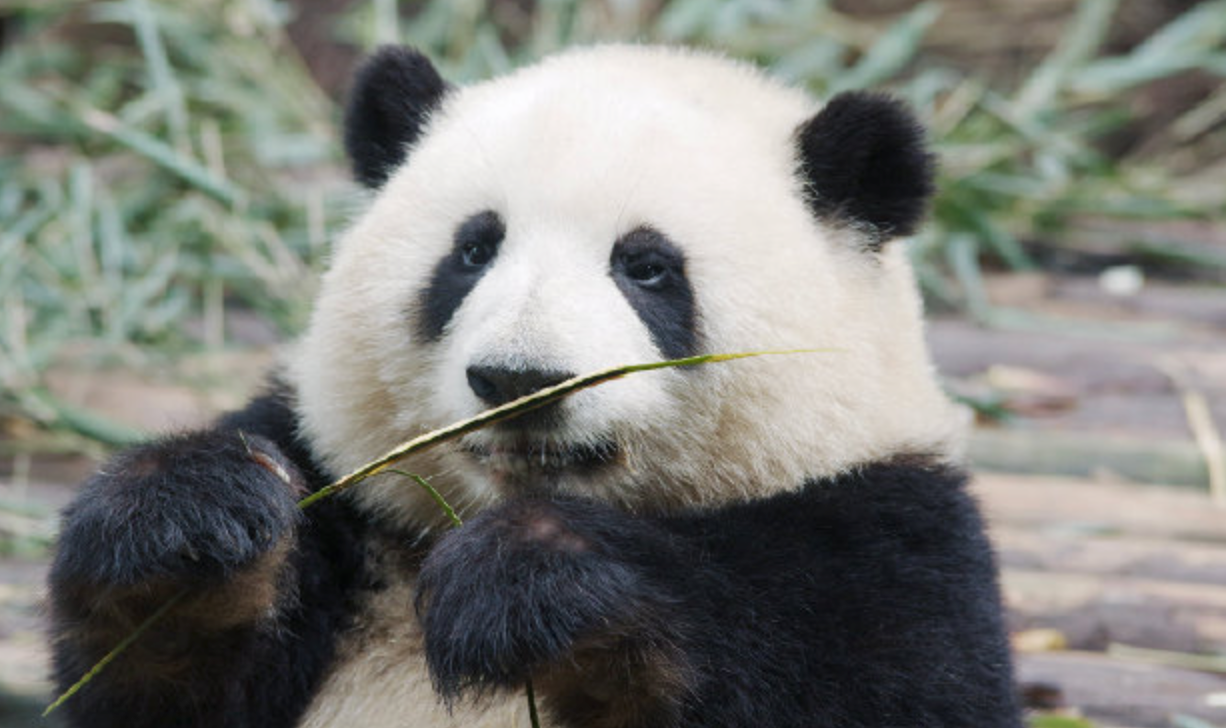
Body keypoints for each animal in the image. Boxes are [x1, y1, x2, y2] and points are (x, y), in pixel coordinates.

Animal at [48, 45, 1021, 728]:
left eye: (647, 267)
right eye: (474, 249)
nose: (520, 379)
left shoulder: (885, 542)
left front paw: (534, 582)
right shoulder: (351, 506)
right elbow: (153, 690)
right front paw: (183, 517)